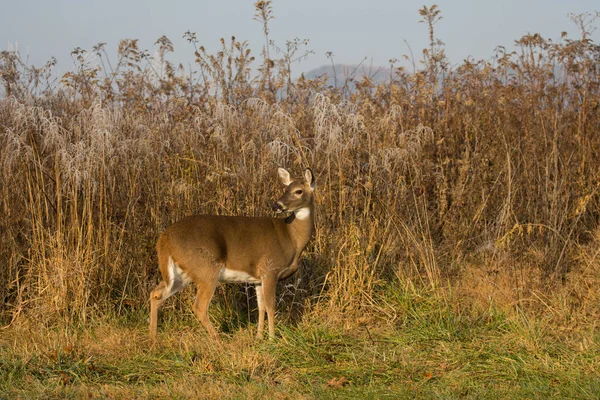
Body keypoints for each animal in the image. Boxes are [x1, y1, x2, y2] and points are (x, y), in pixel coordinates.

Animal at [149, 167, 316, 340]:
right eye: (286, 189)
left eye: (298, 191)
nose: (276, 205)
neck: (291, 237)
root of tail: (164, 239)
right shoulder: (270, 269)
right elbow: (271, 306)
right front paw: (272, 338)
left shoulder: (258, 278)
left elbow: (261, 306)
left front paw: (259, 337)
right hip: (206, 269)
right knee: (199, 306)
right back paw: (217, 340)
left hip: (183, 273)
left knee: (156, 294)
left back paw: (153, 338)